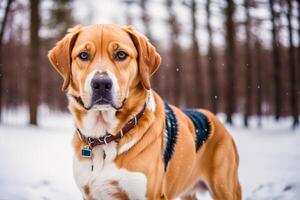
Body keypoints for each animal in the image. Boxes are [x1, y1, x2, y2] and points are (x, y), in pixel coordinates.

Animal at [48, 24, 241, 199]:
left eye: (121, 55)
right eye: (83, 55)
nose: (101, 84)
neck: (105, 137)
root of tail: (214, 118)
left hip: (225, 187)